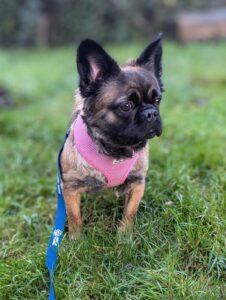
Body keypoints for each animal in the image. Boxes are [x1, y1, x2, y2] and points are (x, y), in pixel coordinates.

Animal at [59, 33, 163, 239]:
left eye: (157, 100)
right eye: (126, 106)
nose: (151, 113)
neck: (116, 150)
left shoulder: (137, 184)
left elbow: (130, 212)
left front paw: (124, 236)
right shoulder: (70, 188)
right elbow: (74, 216)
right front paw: (77, 239)